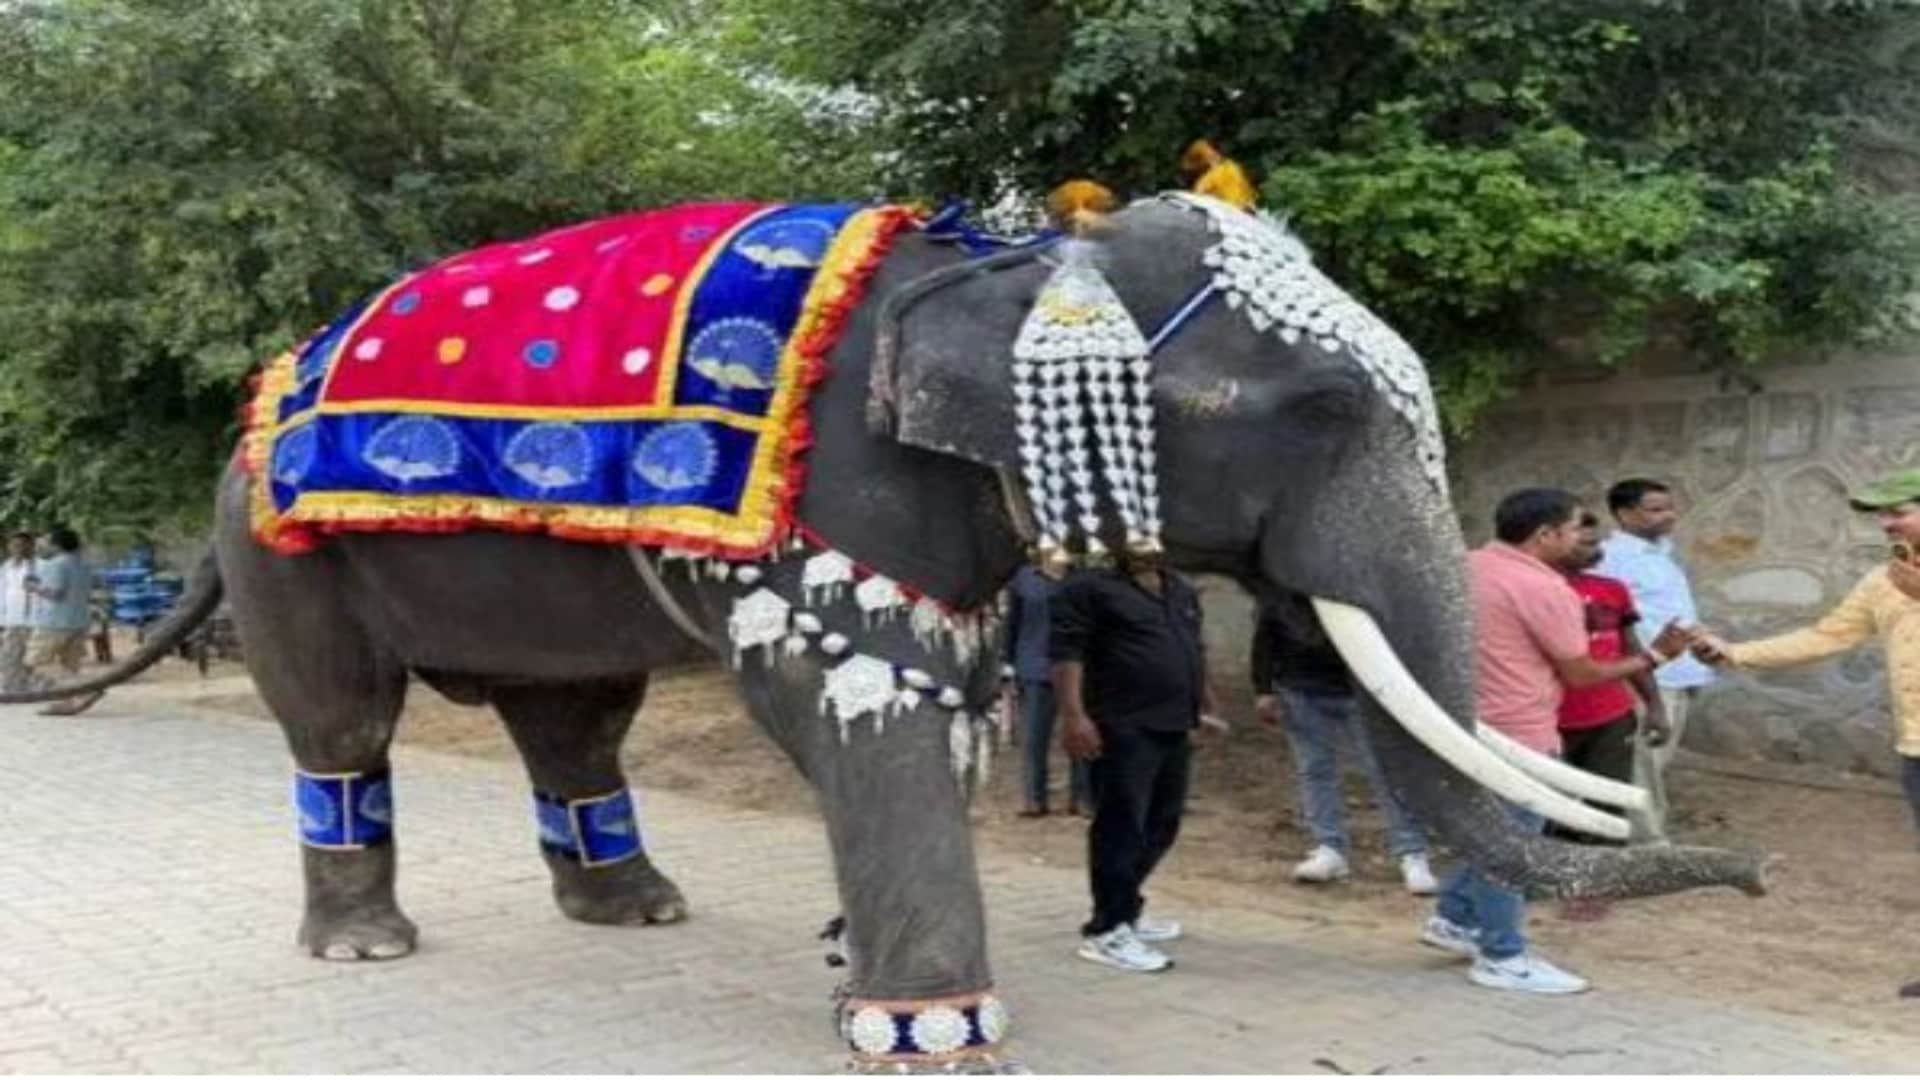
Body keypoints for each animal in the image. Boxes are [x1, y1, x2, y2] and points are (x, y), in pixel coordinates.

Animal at [4, 190, 1769, 1071]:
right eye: (1324, 410)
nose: (1752, 875)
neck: (1006, 260)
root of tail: (263, 389)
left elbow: (928, 699)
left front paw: (851, 964)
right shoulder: (833, 492)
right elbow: (863, 696)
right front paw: (927, 1034)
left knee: (571, 719)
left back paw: (634, 911)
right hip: (279, 549)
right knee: (345, 726)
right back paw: (369, 944)